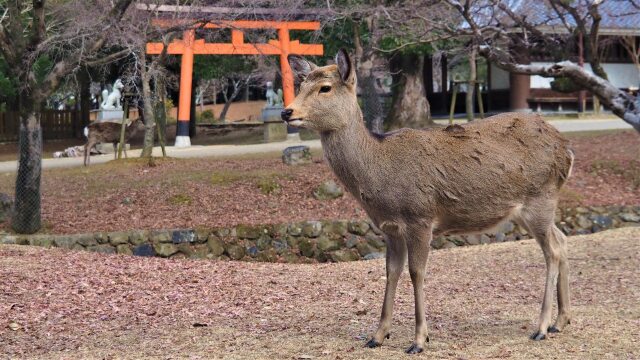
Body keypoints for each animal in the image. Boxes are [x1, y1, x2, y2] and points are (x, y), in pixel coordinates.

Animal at [282, 50, 572, 354]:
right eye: (300, 85)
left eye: (325, 88)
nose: (286, 112)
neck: (379, 174)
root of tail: (567, 150)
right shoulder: (389, 227)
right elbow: (391, 271)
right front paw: (377, 335)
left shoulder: (419, 217)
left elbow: (416, 272)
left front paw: (419, 340)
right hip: (532, 209)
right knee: (563, 239)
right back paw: (561, 321)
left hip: (540, 198)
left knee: (552, 251)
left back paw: (541, 327)